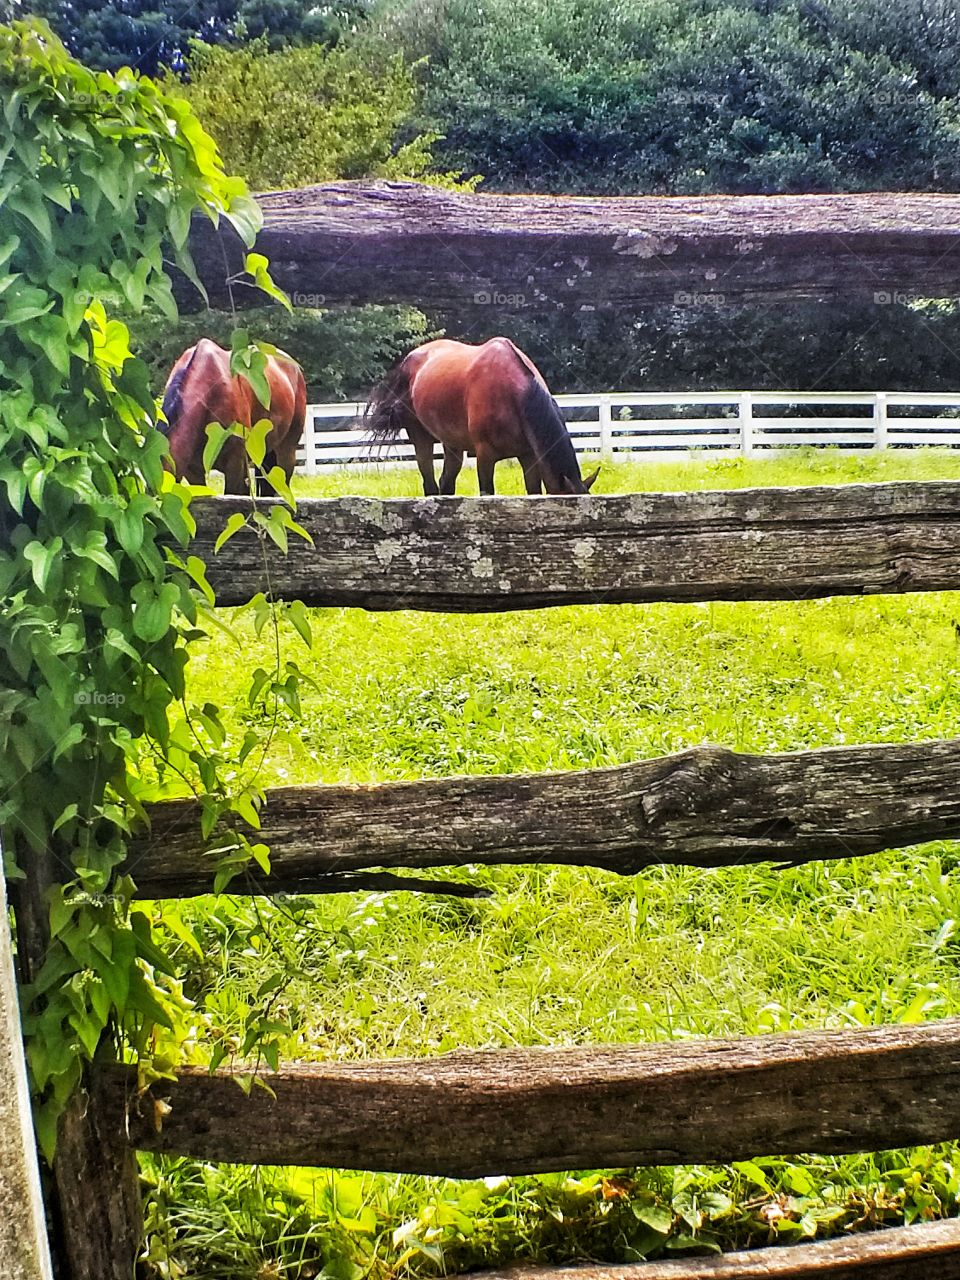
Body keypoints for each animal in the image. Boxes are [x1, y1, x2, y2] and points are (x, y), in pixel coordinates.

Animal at [364, 337, 600, 496]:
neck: (513, 394)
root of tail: (409, 360)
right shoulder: (485, 455)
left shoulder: (529, 457)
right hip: (420, 437)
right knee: (430, 484)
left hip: (453, 445)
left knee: (446, 484)